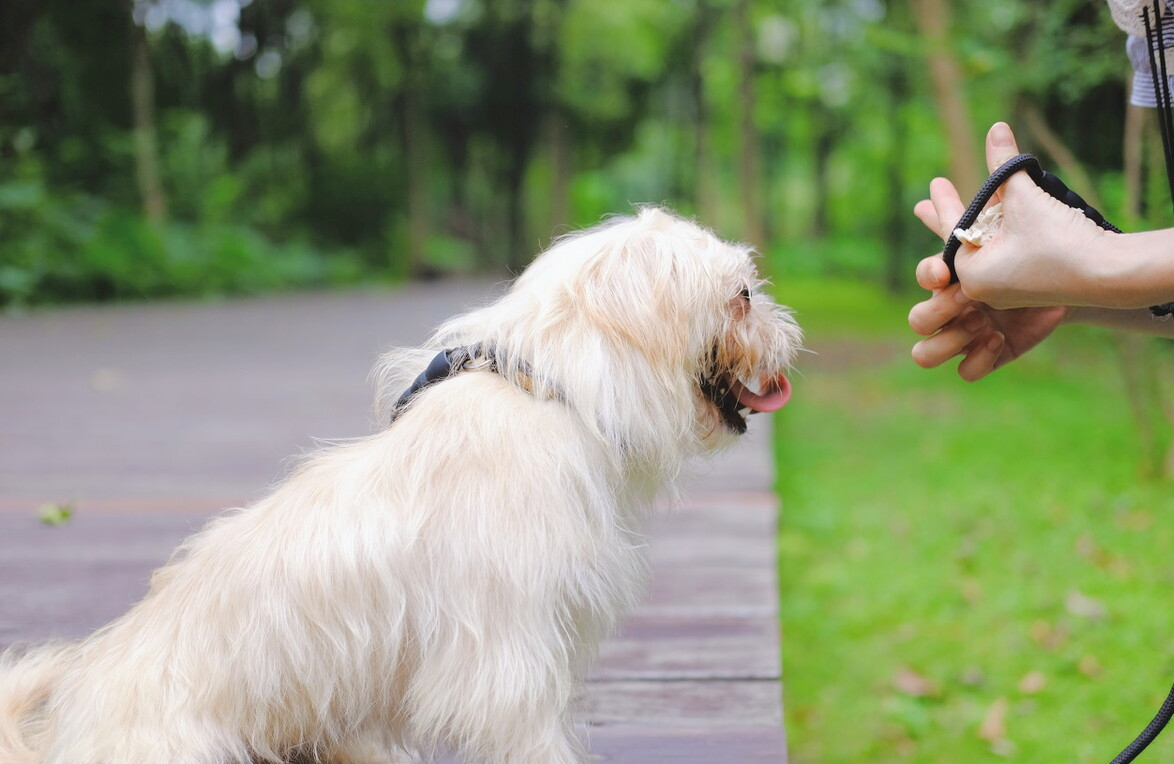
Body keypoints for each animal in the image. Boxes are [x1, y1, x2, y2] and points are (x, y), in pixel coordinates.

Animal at [0, 207, 803, 764]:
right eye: (740, 295)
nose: (790, 329)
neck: (551, 391)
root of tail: (60, 737)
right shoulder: (502, 658)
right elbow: (531, 737)